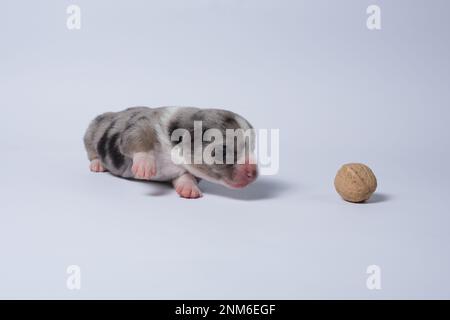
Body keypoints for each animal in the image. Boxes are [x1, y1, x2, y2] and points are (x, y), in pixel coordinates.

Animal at [84, 107, 258, 198]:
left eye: (252, 148)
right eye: (223, 151)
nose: (254, 173)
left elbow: (185, 175)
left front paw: (189, 188)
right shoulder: (143, 123)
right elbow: (136, 135)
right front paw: (145, 165)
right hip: (92, 131)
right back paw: (97, 164)